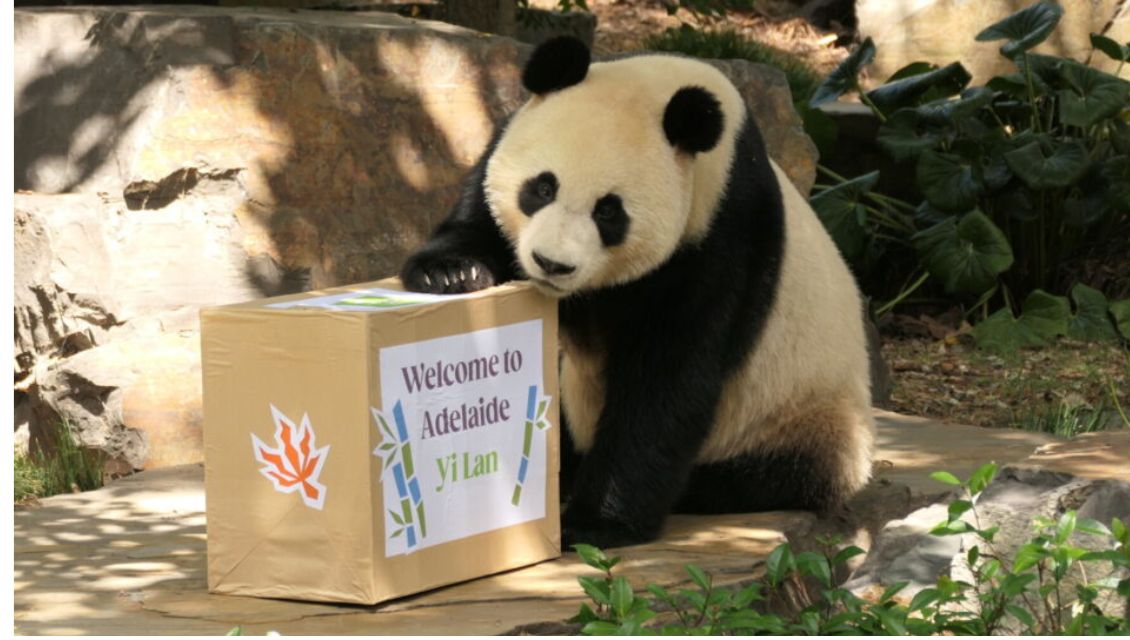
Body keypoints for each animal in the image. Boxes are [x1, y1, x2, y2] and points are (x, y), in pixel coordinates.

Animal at [400, 36, 874, 549]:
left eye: (609, 212)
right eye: (542, 187)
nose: (551, 264)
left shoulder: (722, 237)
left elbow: (668, 380)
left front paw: (594, 522)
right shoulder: (501, 147)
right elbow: (478, 223)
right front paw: (450, 275)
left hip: (801, 414)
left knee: (771, 470)